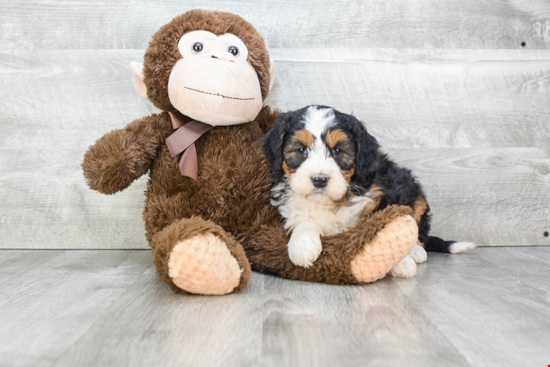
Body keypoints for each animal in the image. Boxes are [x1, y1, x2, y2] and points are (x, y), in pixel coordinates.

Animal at [260, 105, 476, 278]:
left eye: (337, 151)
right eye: (301, 150)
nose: (319, 180)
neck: (331, 201)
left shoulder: (381, 197)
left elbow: (387, 230)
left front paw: (401, 263)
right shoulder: (291, 203)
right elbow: (303, 220)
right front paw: (302, 247)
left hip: (415, 195)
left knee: (418, 231)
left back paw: (415, 252)